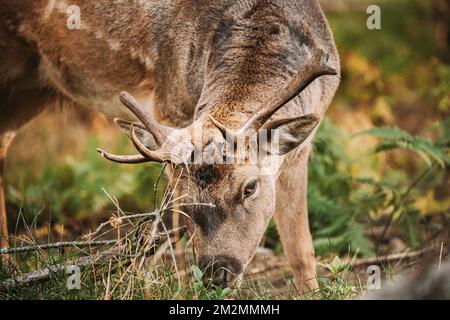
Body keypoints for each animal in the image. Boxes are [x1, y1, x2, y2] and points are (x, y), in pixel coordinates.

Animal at [0, 0, 338, 292]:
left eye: (250, 187)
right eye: (183, 197)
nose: (217, 274)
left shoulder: (300, 150)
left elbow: (301, 250)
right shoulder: (169, 109)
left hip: (34, 86)